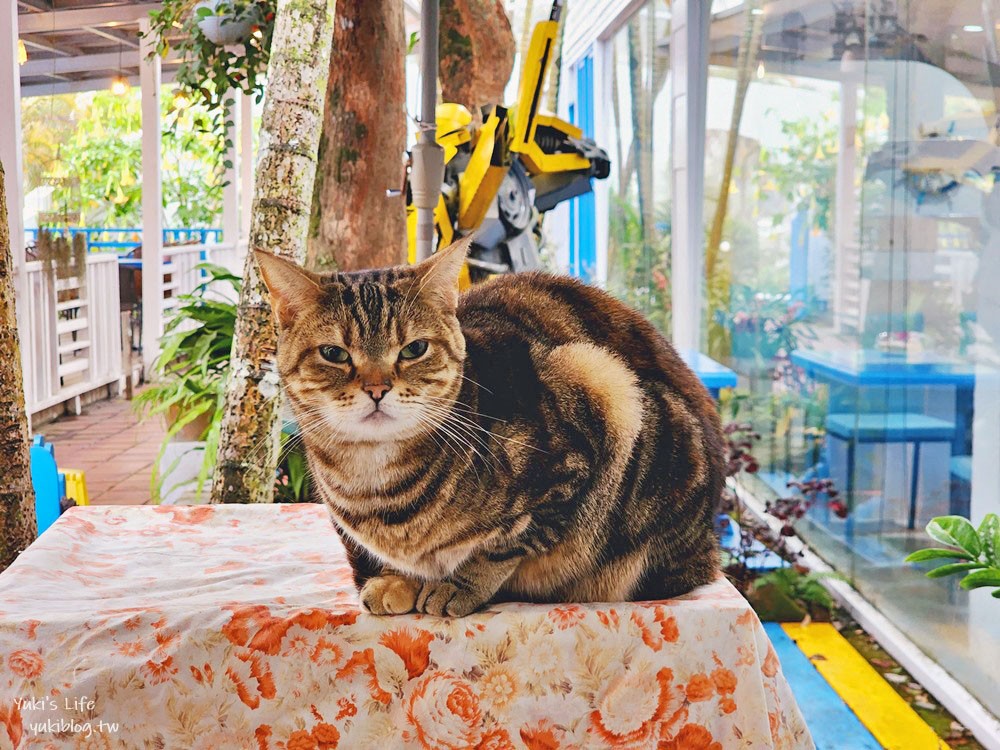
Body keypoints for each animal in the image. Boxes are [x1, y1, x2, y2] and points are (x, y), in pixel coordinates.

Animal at [256, 239, 728, 616]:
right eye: (334, 353)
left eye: (414, 349)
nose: (377, 388)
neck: (377, 488)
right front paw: (397, 580)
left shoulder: (586, 426)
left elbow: (507, 545)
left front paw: (459, 586)